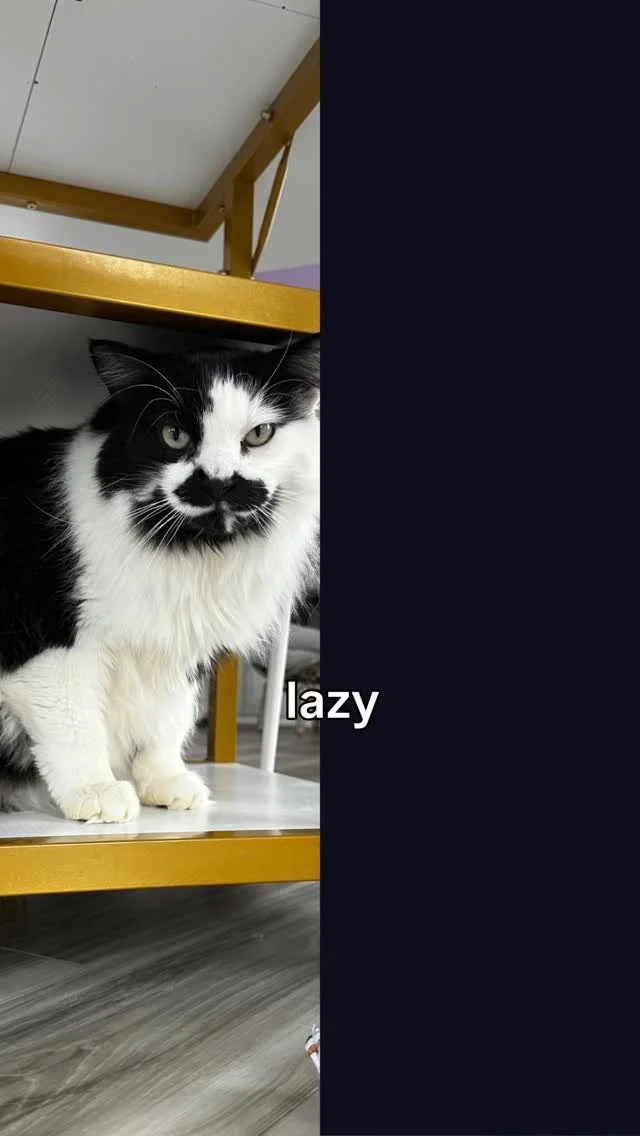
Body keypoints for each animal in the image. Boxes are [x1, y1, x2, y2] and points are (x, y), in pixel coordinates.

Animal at [0, 334, 319, 822]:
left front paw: (165, 783)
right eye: (174, 435)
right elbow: (74, 722)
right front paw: (95, 791)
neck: (191, 552)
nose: (219, 482)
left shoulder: (178, 648)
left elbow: (168, 719)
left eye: (259, 434)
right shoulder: (47, 639)